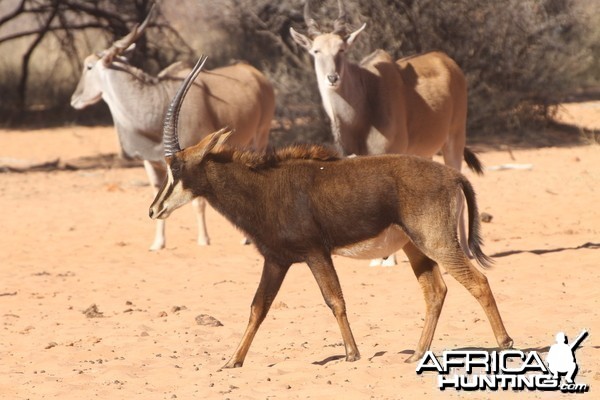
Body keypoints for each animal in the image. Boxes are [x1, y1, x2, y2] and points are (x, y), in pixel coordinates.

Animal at [70, 9, 274, 250]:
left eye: (89, 66)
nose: (74, 100)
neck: (157, 103)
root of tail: (255, 73)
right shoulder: (152, 163)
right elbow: (158, 192)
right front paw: (158, 243)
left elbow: (198, 202)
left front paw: (203, 239)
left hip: (261, 137)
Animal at [149, 57, 510, 368]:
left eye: (176, 167)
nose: (154, 209)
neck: (263, 185)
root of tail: (453, 176)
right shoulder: (276, 260)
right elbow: (258, 307)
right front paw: (232, 361)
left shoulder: (315, 252)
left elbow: (334, 299)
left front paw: (351, 353)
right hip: (414, 247)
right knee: (435, 291)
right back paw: (417, 353)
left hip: (436, 242)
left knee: (478, 281)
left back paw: (504, 343)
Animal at [290, 0, 482, 266]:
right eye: (316, 51)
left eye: (342, 50)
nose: (332, 78)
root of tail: (447, 61)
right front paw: (379, 257)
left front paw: (388, 259)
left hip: (454, 138)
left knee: (461, 192)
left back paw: (463, 248)